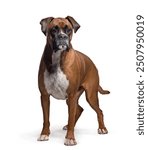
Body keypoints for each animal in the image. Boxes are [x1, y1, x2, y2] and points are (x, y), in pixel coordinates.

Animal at [37, 16, 110, 145]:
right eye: (54, 30)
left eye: (69, 30)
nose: (63, 37)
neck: (58, 59)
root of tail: (91, 62)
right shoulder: (45, 96)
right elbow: (46, 118)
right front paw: (44, 134)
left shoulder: (71, 96)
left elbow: (71, 117)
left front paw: (70, 138)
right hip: (74, 98)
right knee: (79, 109)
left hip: (90, 95)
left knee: (99, 111)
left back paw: (102, 128)